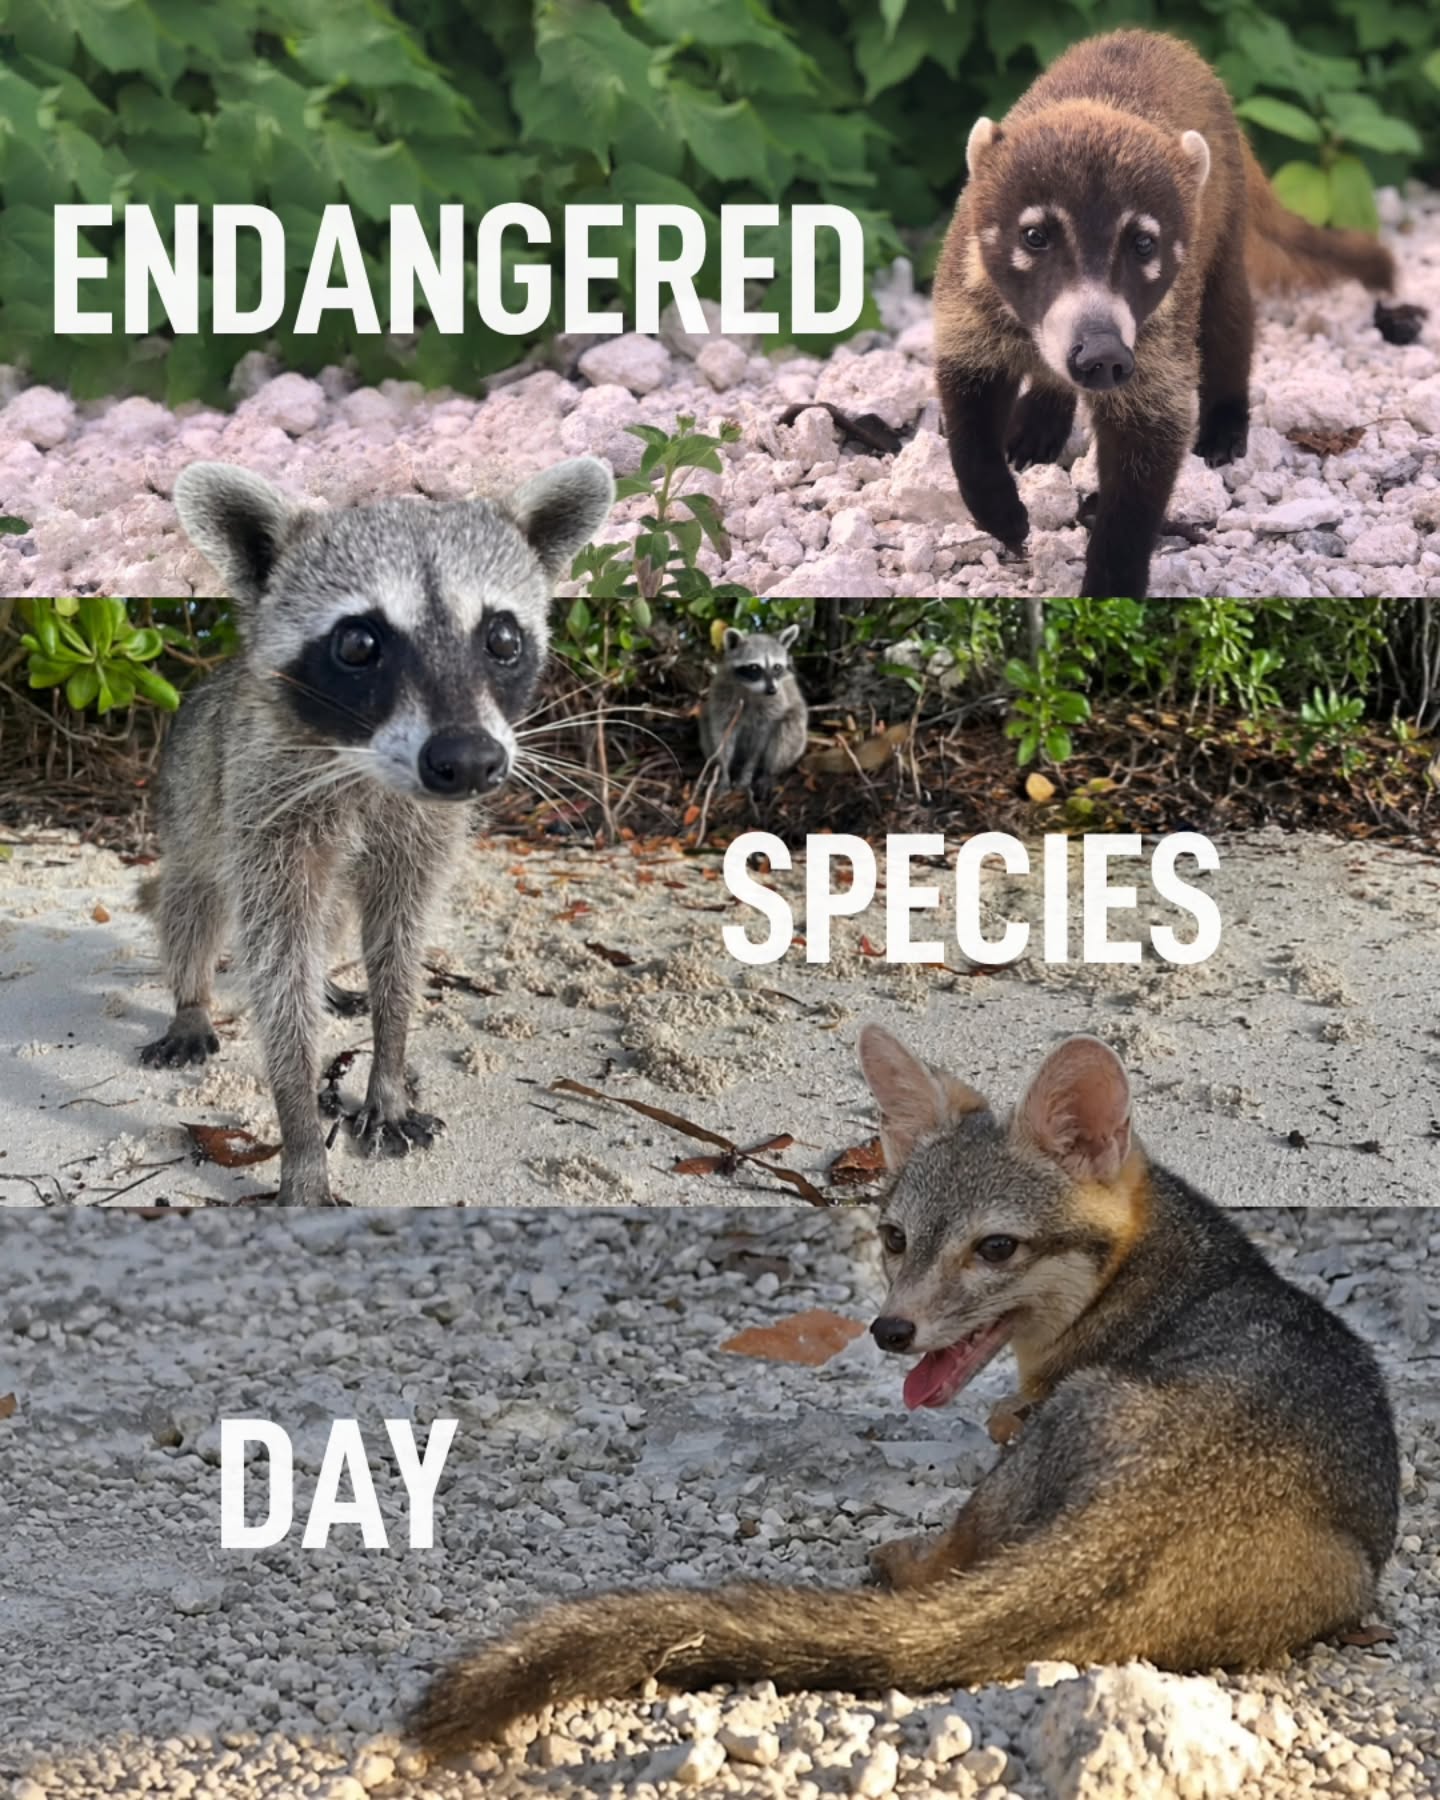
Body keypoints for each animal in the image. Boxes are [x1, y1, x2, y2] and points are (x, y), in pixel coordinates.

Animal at [140, 457, 614, 1206]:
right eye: (360, 642)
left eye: (503, 639)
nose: (468, 761)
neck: (368, 765)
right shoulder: (267, 802)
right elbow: (277, 965)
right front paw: (302, 1134)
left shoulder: (424, 830)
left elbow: (399, 941)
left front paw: (387, 1074)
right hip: (192, 795)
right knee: (194, 899)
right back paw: (191, 1000)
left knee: (334, 913)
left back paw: (333, 981)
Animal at [410, 1027, 1398, 1755]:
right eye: (893, 1237)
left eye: (995, 1248)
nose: (890, 1331)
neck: (1160, 1271)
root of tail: (1162, 1504)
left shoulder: (1023, 1414)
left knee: (957, 1553)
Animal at [700, 625, 808, 799]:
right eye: (754, 667)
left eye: (777, 667)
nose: (772, 690)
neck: (750, 688)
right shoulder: (722, 697)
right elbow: (723, 735)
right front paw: (724, 771)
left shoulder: (773, 706)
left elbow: (760, 744)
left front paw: (747, 773)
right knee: (705, 721)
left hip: (793, 722)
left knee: (789, 729)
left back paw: (770, 772)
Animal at [933, 29, 1426, 598]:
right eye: (1035, 236)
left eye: (1144, 243)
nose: (1102, 353)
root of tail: (1162, 40)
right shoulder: (965, 300)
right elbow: (967, 416)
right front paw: (999, 510)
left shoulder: (1156, 346)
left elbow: (1146, 459)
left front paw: (1111, 585)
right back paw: (1041, 420)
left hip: (1223, 237)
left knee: (1230, 325)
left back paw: (1225, 422)